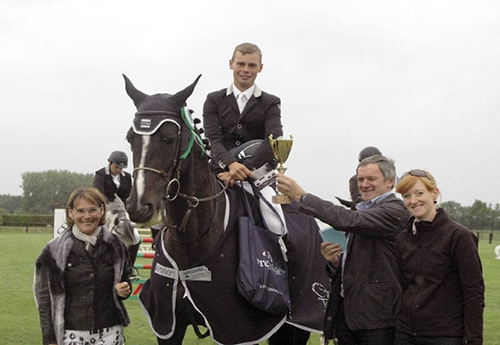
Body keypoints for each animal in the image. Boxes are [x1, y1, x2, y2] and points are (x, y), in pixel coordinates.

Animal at [123, 74, 330, 342]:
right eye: (130, 138)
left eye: (169, 139)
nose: (139, 206)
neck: (190, 240)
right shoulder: (168, 326)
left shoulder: (237, 330)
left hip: (295, 326)